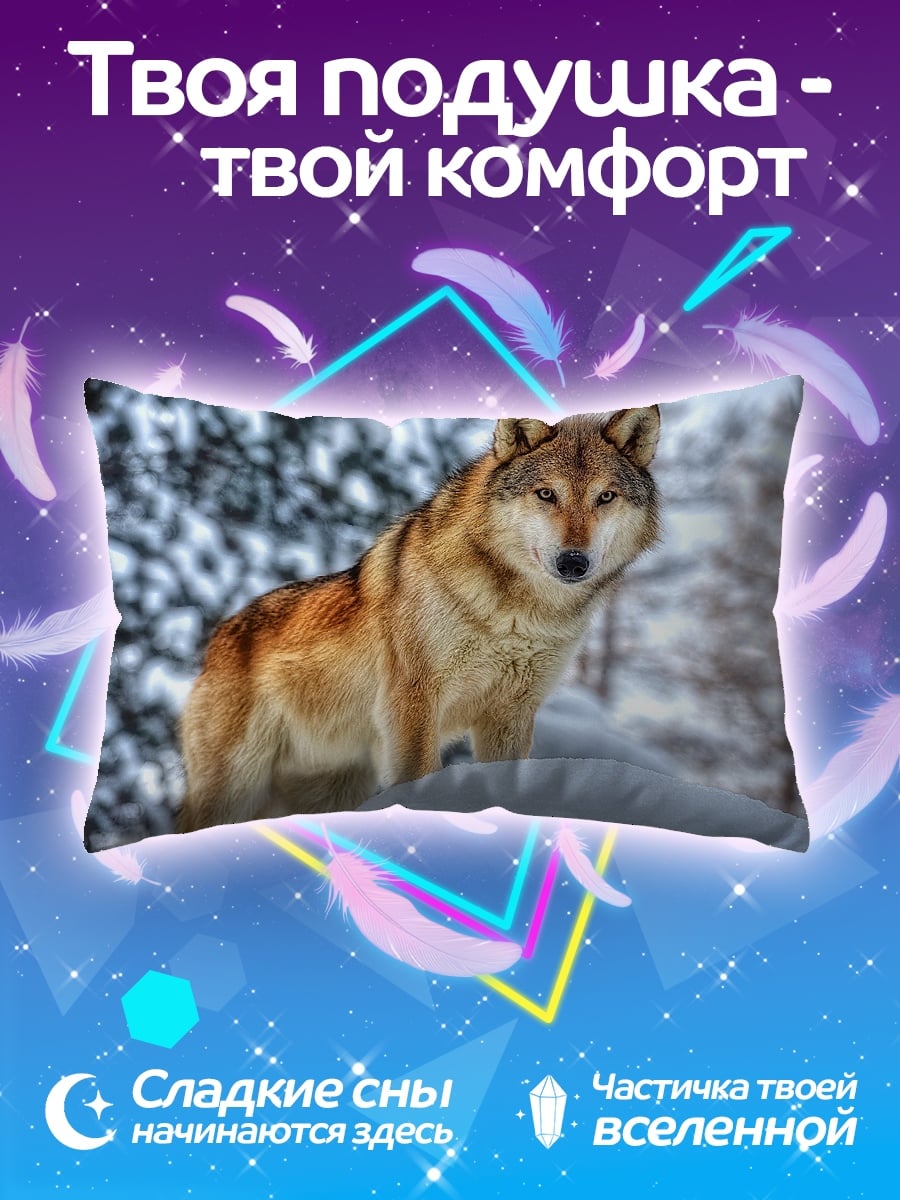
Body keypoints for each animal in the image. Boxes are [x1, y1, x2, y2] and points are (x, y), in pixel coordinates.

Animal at [176, 407, 661, 832]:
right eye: (547, 494)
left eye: (605, 497)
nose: (573, 562)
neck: (519, 616)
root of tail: (217, 640)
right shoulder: (413, 702)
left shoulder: (510, 715)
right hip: (237, 788)